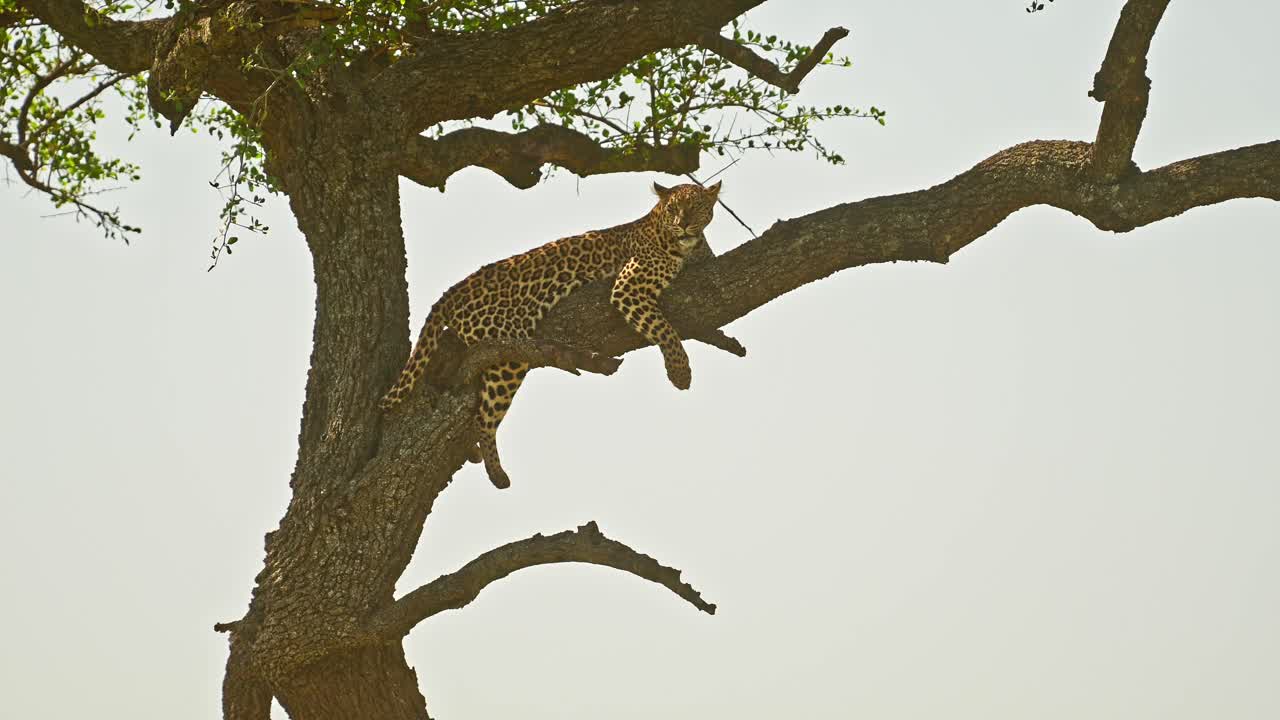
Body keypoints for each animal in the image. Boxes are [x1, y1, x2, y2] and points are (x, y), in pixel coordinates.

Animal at [380, 181, 721, 489]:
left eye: (696, 207)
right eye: (673, 208)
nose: (684, 224)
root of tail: (452, 292)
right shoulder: (629, 287)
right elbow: (664, 329)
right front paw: (680, 372)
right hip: (509, 354)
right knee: (484, 418)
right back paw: (496, 473)